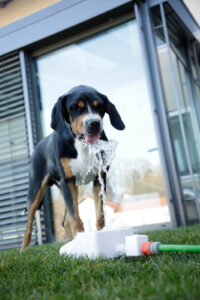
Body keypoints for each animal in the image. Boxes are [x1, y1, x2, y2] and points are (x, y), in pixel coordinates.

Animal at [21, 85, 125, 251]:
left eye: (99, 106)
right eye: (75, 107)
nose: (94, 123)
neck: (82, 144)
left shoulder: (99, 178)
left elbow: (100, 214)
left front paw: (100, 234)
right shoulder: (68, 181)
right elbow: (75, 217)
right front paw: (81, 239)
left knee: (64, 220)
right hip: (36, 190)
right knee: (29, 225)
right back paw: (23, 249)